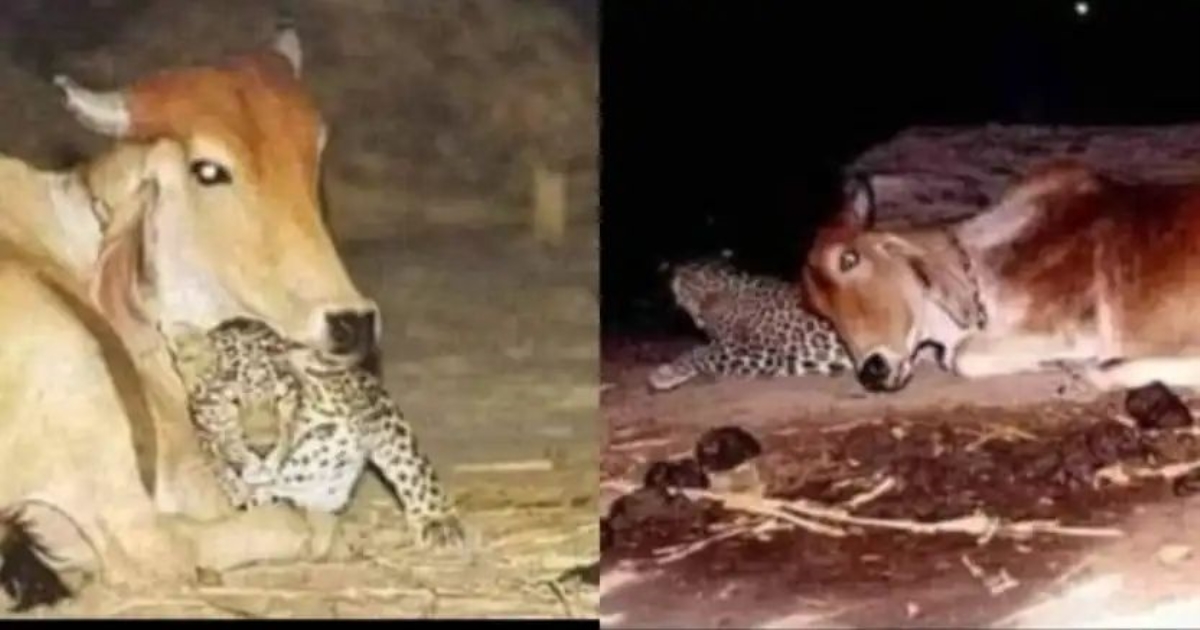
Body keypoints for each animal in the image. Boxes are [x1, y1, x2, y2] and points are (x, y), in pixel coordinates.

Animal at [163, 317, 464, 548]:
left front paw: (437, 521)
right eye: (233, 402)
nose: (262, 449)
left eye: (280, 398)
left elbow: (410, 464)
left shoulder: (373, 401)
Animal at [649, 258, 854, 391]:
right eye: (690, 290)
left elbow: (698, 353)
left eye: (698, 288)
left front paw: (665, 375)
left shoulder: (763, 355)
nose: (702, 313)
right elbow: (698, 350)